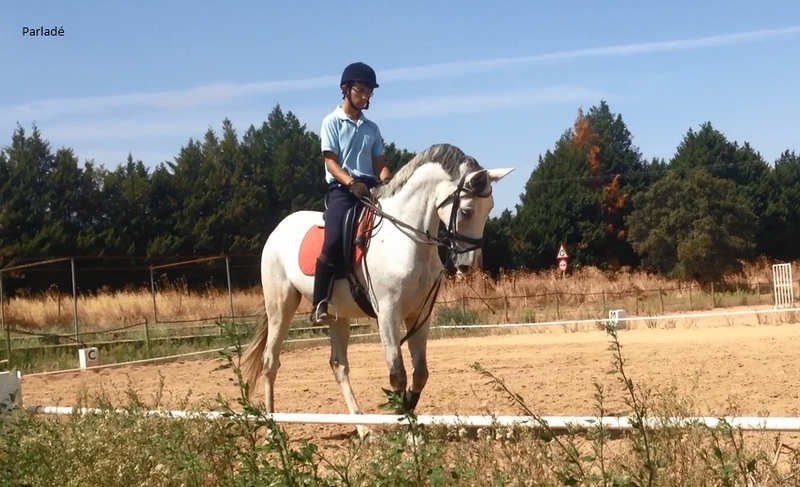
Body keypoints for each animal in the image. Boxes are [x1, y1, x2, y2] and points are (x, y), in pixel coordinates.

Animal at [240, 143, 514, 437]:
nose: (469, 265)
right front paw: (409, 432)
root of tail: (278, 229)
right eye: (466, 211)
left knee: (338, 365)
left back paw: (362, 428)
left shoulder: (420, 315)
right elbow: (398, 374)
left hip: (338, 315)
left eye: (490, 208)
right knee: (270, 362)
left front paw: (407, 409)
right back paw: (271, 429)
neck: (407, 240)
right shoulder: (388, 315)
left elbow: (420, 373)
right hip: (281, 307)